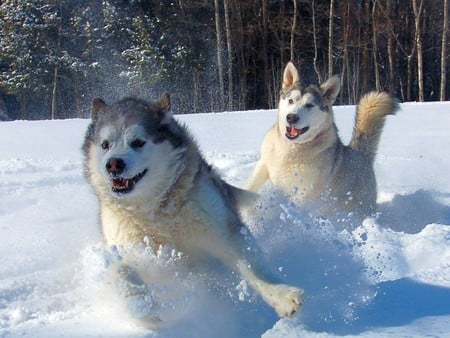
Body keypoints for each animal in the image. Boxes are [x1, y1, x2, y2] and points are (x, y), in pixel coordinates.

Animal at [82, 92, 304, 324]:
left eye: (138, 142)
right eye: (105, 145)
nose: (113, 164)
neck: (155, 212)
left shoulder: (222, 229)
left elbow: (252, 267)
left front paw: (281, 294)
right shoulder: (127, 246)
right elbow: (121, 268)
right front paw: (140, 305)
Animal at [246, 62, 398, 220]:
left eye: (309, 105)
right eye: (290, 100)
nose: (291, 117)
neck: (291, 149)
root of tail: (360, 154)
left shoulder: (304, 190)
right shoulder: (264, 164)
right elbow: (250, 186)